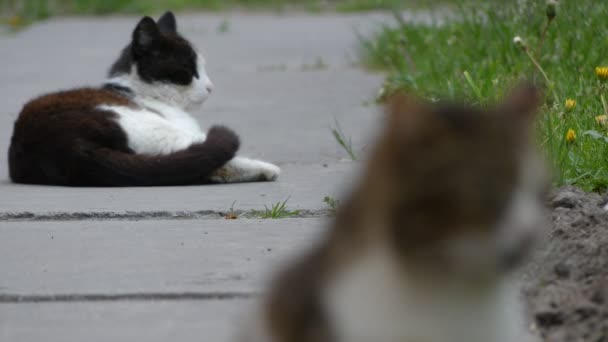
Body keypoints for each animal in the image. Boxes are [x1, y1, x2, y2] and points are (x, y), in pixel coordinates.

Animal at [9, 12, 280, 186]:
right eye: (187, 71)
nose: (210, 87)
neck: (140, 92)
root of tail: (68, 146)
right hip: (154, 129)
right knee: (209, 156)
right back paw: (267, 169)